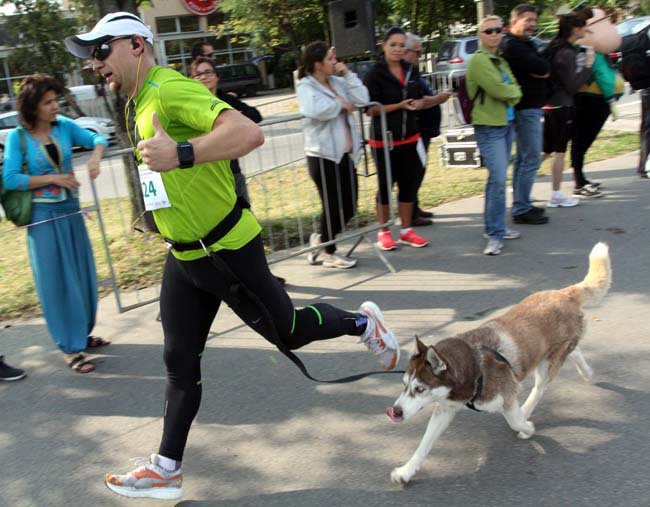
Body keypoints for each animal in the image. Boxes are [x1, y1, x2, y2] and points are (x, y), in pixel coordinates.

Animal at [384, 244, 608, 486]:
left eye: (420, 389)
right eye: (404, 385)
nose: (395, 412)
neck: (474, 366)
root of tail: (564, 293)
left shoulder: (506, 396)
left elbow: (515, 421)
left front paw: (526, 427)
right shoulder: (445, 409)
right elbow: (424, 444)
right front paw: (406, 471)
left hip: (546, 363)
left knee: (540, 387)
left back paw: (528, 409)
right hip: (552, 352)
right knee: (574, 351)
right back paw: (587, 373)